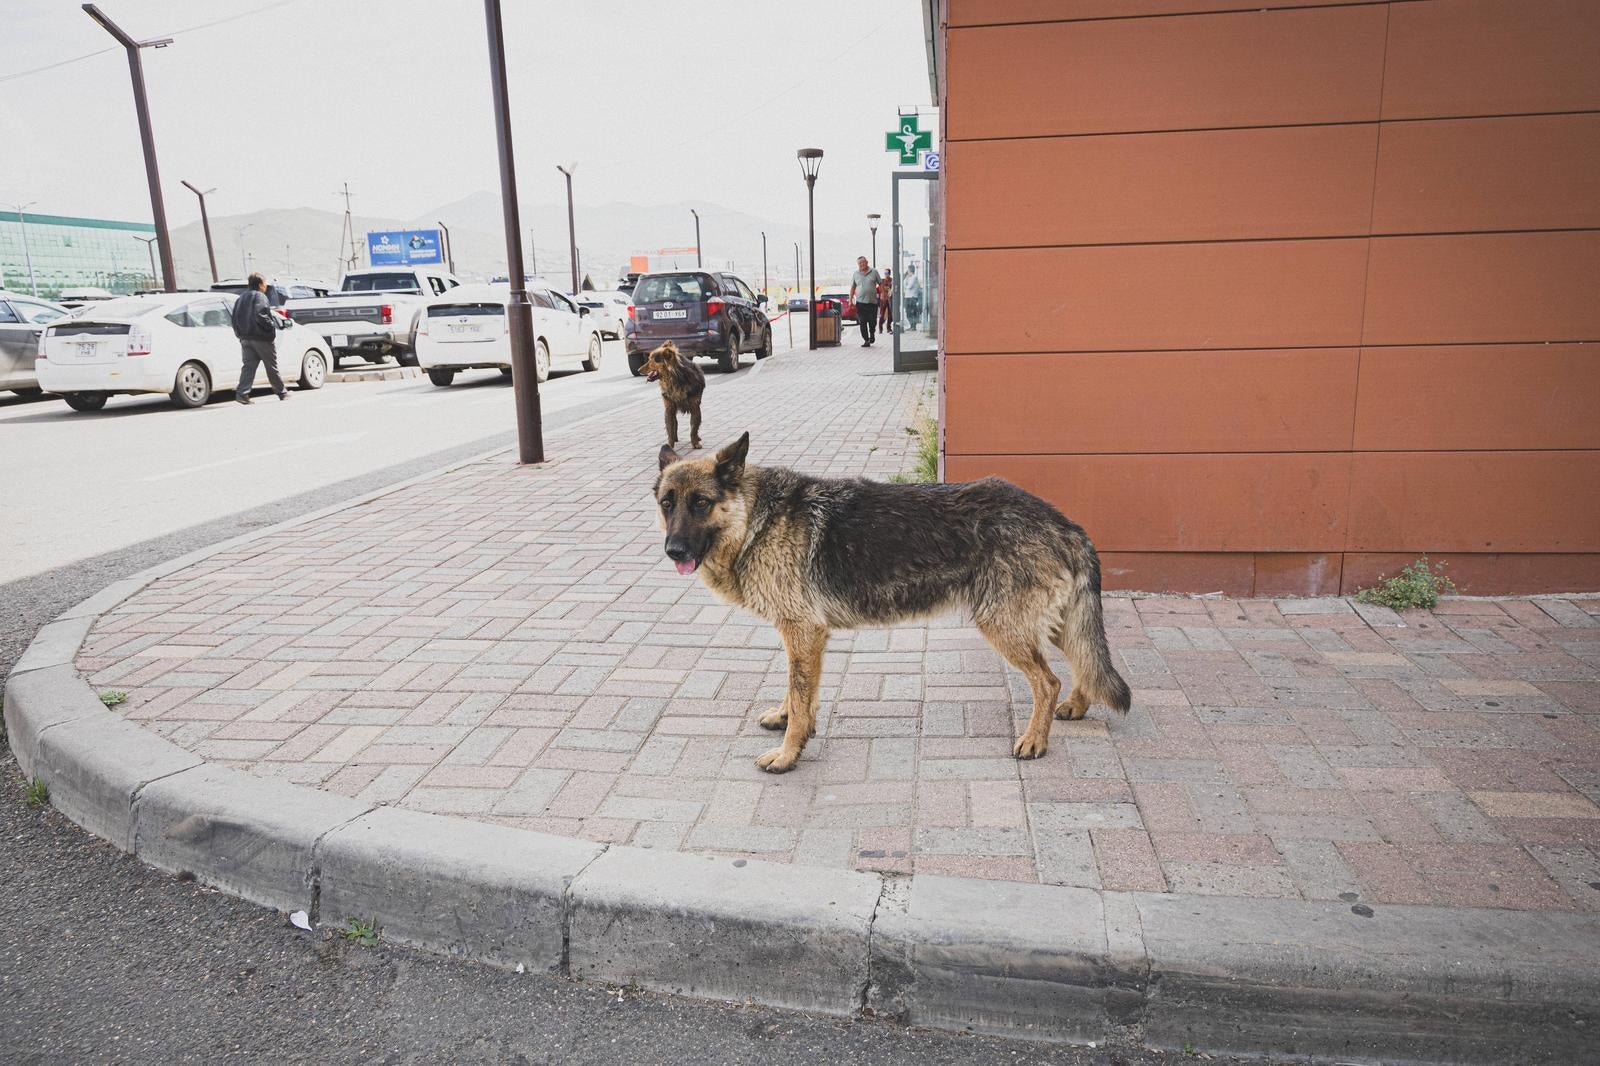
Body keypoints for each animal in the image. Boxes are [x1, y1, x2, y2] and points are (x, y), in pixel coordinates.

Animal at [656, 432, 1132, 771]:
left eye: (701, 503)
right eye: (667, 504)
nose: (673, 551)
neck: (757, 519)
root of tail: (1065, 523)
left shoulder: (803, 633)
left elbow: (800, 694)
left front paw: (789, 753)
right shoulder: (806, 638)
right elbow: (799, 694)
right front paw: (788, 718)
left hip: (1004, 627)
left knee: (1047, 682)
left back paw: (1036, 738)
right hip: (1052, 623)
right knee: (1084, 661)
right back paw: (1076, 705)